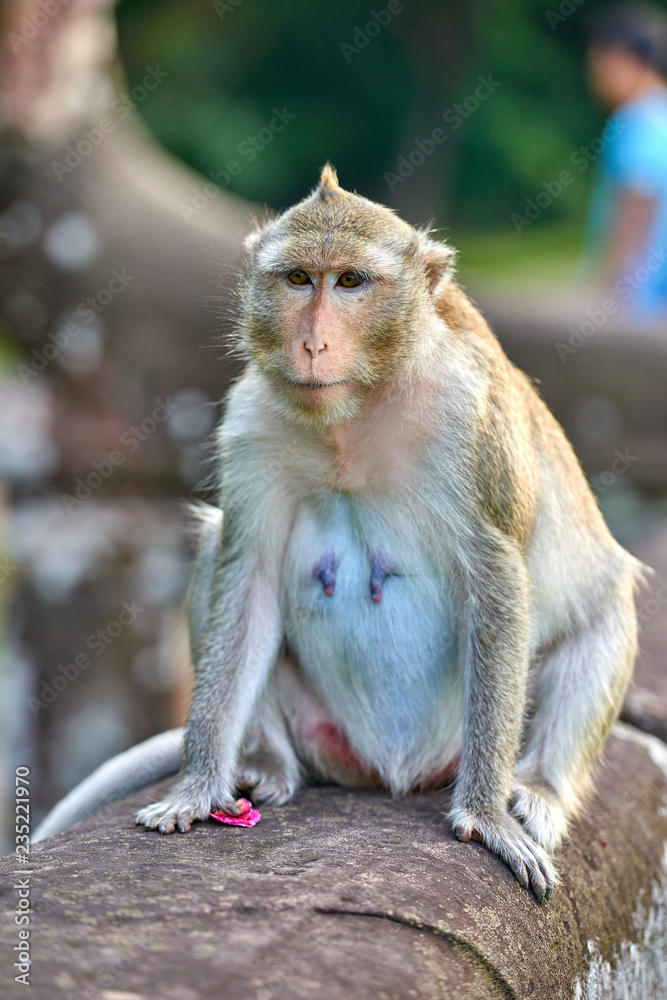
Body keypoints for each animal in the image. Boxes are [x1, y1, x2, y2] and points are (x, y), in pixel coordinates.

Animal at [35, 168, 640, 904]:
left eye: (350, 282)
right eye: (299, 279)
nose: (312, 344)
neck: (355, 412)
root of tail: (391, 772)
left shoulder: (469, 419)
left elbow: (497, 574)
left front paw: (488, 817)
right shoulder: (253, 417)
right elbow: (249, 576)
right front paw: (195, 788)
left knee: (601, 620)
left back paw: (536, 789)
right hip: (324, 732)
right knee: (218, 551)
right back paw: (266, 759)